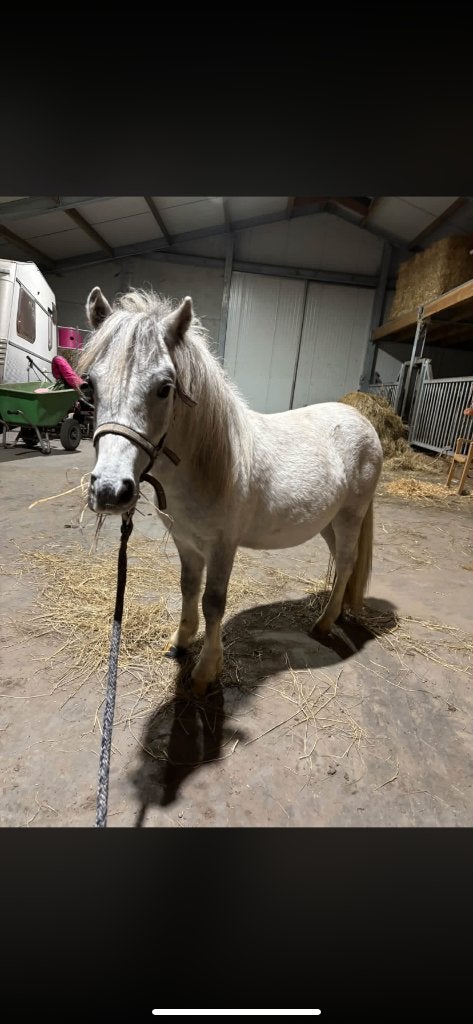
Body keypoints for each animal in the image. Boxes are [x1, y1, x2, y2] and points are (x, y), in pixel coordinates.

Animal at [78, 286, 383, 696]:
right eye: (89, 385)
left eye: (165, 388)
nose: (111, 490)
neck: (208, 463)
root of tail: (361, 419)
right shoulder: (187, 541)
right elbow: (189, 588)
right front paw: (180, 643)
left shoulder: (223, 546)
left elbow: (213, 602)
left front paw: (205, 671)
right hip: (328, 523)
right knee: (341, 564)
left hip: (351, 515)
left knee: (348, 561)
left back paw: (323, 623)